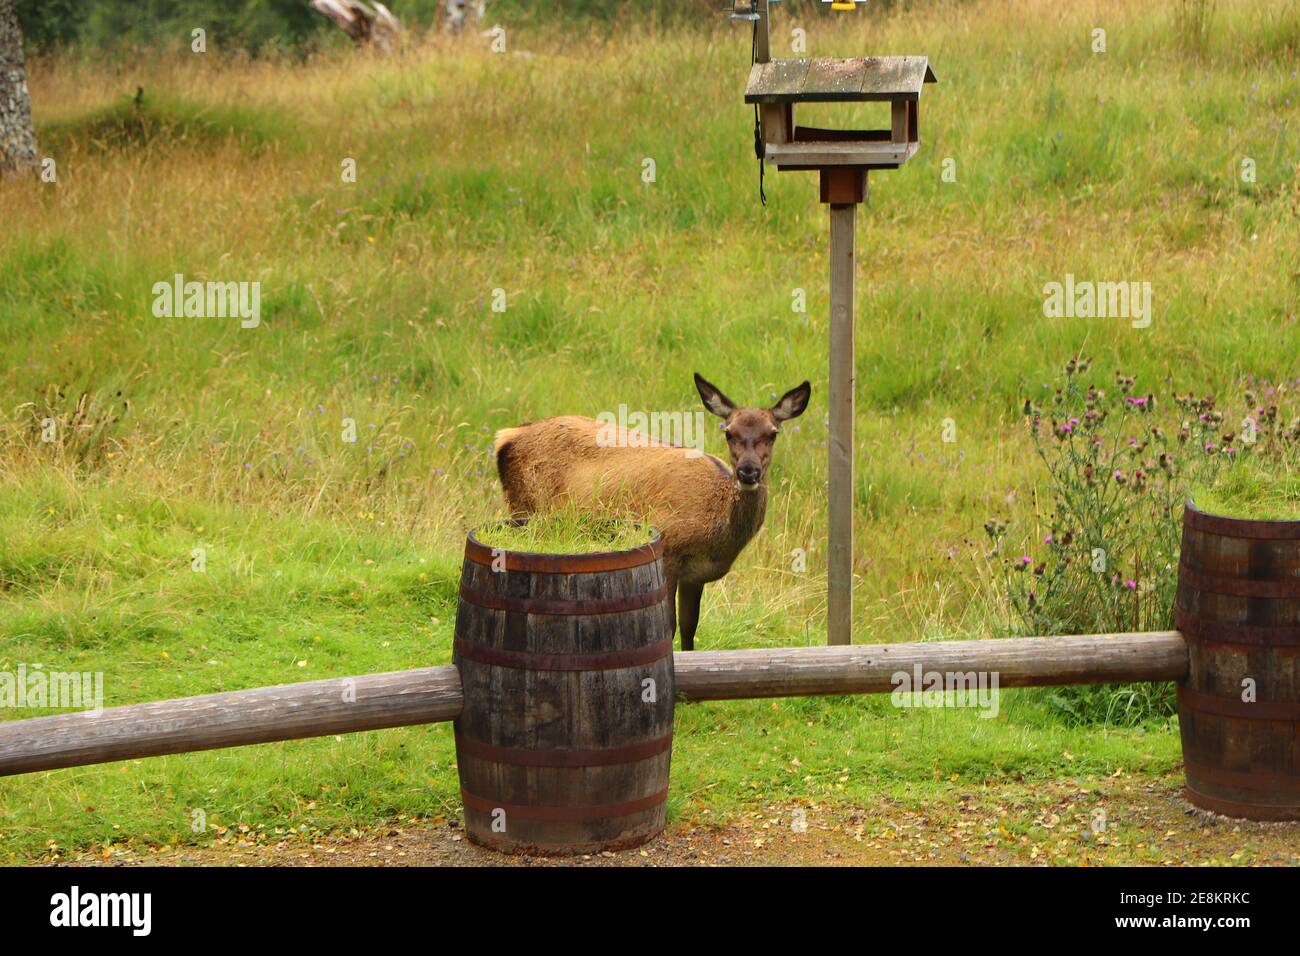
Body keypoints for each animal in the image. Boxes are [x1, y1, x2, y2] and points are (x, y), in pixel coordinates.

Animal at [492, 373, 811, 650]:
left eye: (773, 433)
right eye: (729, 433)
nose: (748, 471)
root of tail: (505, 436)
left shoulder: (695, 575)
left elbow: (689, 628)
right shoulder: (667, 551)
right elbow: (667, 626)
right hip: (523, 508)